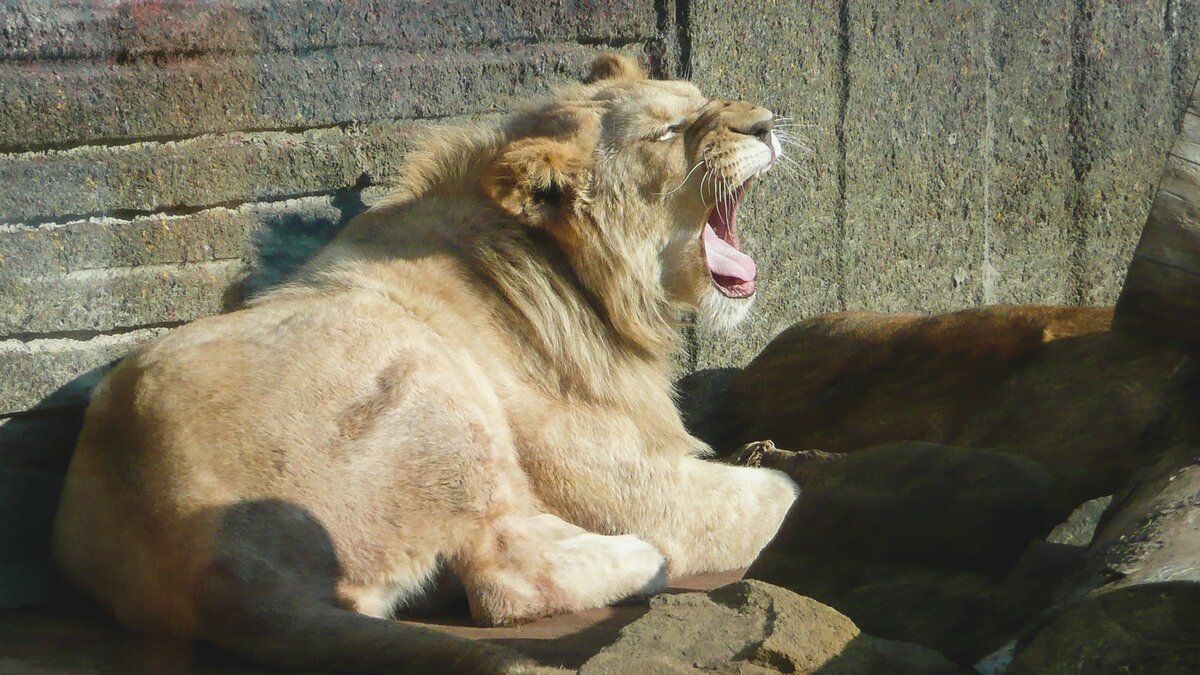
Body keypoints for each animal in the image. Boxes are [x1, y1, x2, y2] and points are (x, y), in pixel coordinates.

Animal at [51, 55, 801, 667]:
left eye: (699, 98)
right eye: (666, 132)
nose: (766, 123)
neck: (585, 278)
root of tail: (207, 567)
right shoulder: (639, 488)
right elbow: (771, 498)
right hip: (428, 370)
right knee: (505, 579)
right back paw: (640, 560)